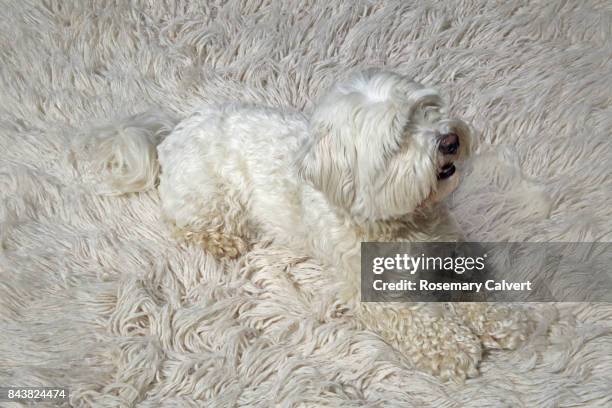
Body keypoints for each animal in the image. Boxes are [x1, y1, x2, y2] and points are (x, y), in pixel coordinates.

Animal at [89, 68, 532, 380]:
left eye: (428, 109)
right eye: (399, 138)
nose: (449, 139)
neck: (402, 221)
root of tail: (173, 131)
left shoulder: (450, 247)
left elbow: (475, 287)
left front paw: (502, 320)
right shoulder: (373, 287)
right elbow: (416, 318)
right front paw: (452, 348)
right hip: (211, 196)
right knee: (187, 223)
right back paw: (220, 240)